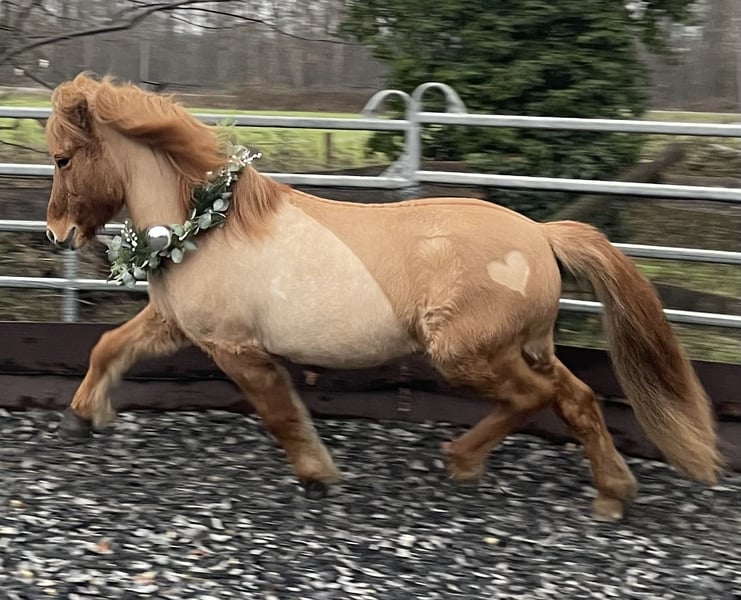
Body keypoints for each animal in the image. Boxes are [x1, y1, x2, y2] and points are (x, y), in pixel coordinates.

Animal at [44, 73, 721, 521]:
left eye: (63, 158)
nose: (56, 234)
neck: (207, 225)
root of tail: (541, 236)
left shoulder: (236, 348)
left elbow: (280, 414)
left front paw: (318, 475)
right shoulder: (175, 323)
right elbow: (109, 347)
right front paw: (84, 415)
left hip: (466, 354)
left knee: (535, 398)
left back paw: (466, 461)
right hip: (525, 346)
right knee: (576, 399)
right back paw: (611, 494)